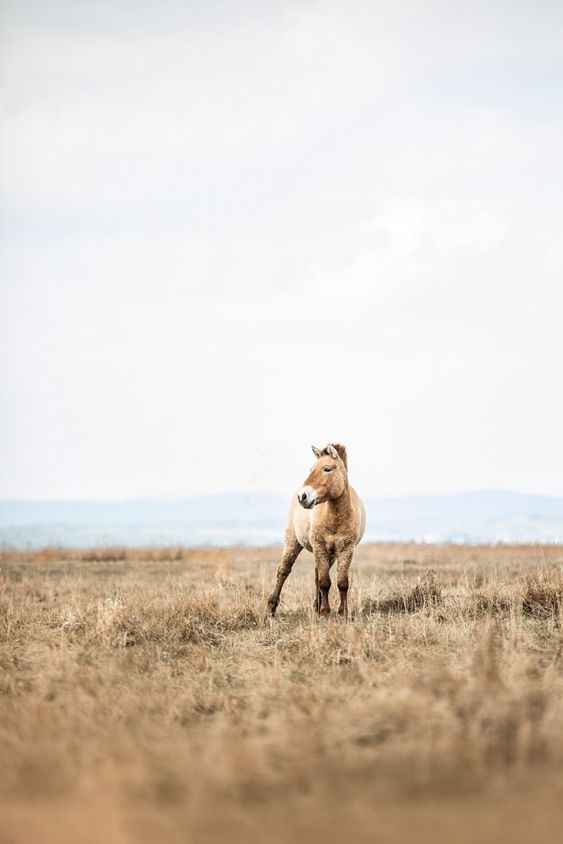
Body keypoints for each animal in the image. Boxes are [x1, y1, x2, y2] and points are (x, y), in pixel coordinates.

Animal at [267, 443, 366, 619]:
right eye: (311, 469)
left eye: (327, 469)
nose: (303, 496)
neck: (335, 518)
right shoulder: (320, 547)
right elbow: (325, 582)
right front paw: (325, 613)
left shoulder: (346, 549)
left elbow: (342, 583)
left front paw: (343, 613)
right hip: (293, 542)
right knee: (284, 571)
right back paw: (271, 608)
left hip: (329, 554)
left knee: (316, 575)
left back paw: (316, 605)